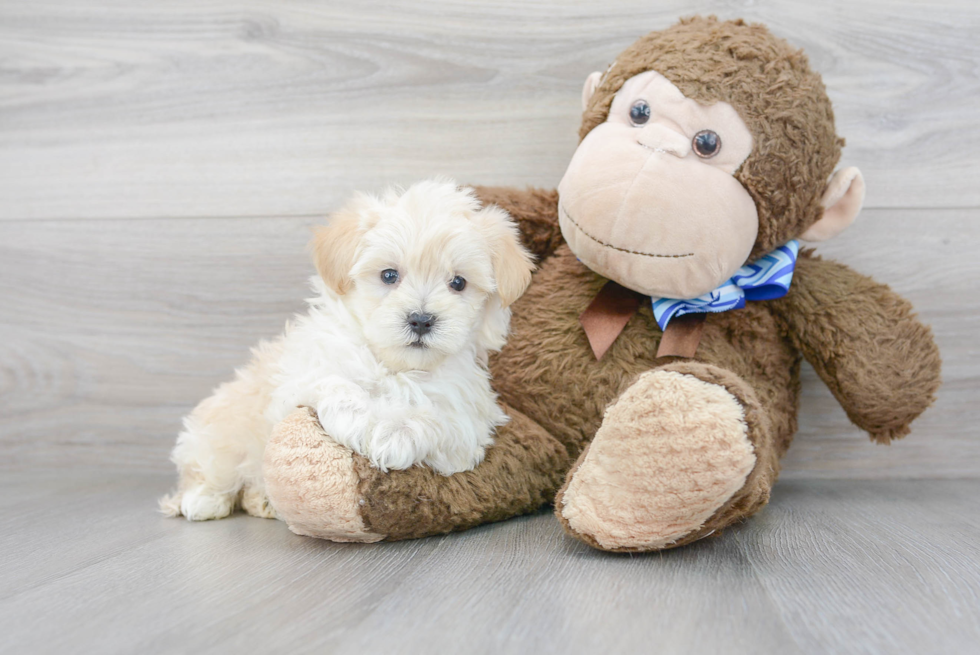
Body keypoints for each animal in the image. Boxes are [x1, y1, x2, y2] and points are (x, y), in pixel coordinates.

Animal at [160, 179, 532, 524]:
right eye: (389, 275)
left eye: (458, 283)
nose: (421, 319)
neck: (395, 366)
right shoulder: (304, 374)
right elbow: (338, 386)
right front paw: (376, 423)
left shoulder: (467, 421)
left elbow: (436, 421)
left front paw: (395, 432)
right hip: (220, 433)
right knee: (210, 468)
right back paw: (203, 499)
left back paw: (262, 501)